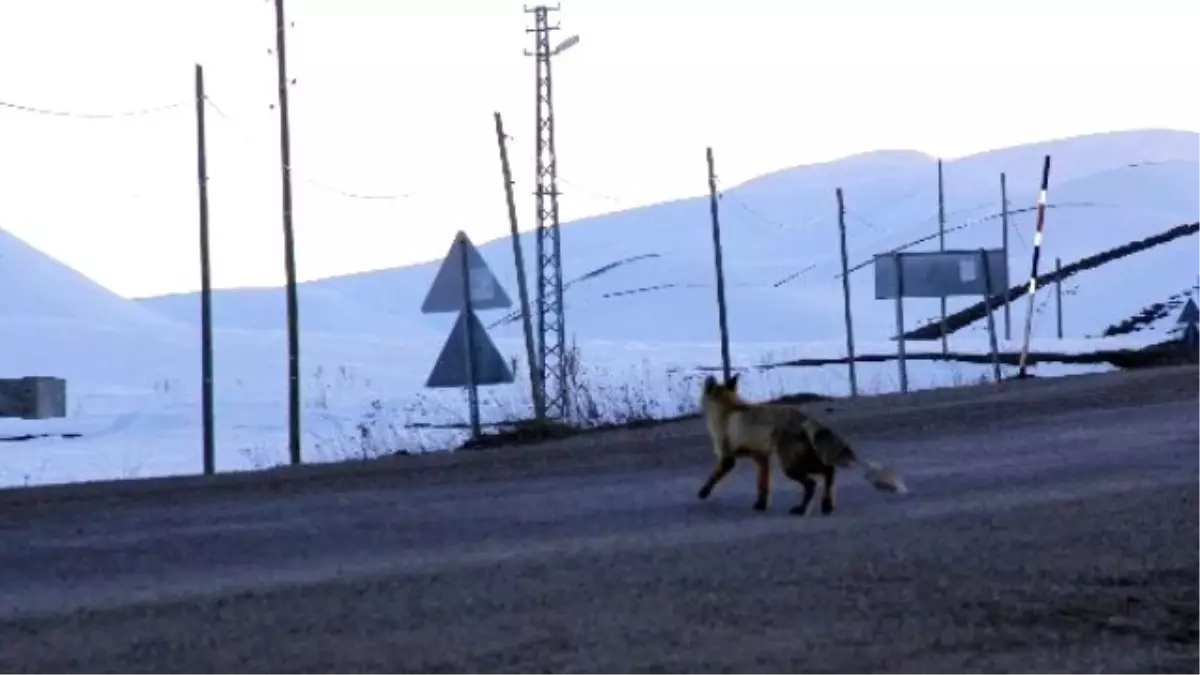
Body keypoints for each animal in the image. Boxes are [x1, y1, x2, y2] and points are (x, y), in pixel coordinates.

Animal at [700, 372, 902, 514]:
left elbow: (713, 477)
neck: (727, 409)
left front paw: (703, 492)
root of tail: (803, 416)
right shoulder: (762, 458)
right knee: (829, 471)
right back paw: (827, 504)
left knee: (813, 483)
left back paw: (802, 509)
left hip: (790, 465)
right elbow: (763, 486)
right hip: (801, 460)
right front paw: (761, 505)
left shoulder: (727, 457)